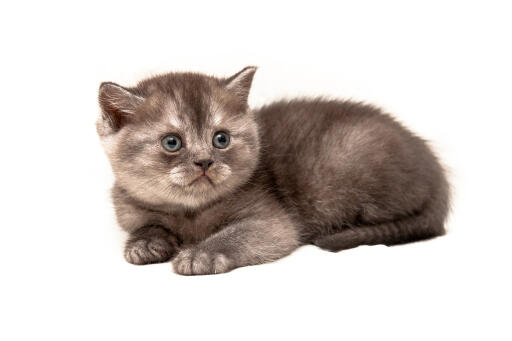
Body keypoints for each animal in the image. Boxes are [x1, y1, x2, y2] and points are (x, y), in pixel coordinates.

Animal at [96, 65, 448, 274]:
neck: (191, 213)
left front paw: (201, 255)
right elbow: (148, 225)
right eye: (172, 142)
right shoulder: (132, 211)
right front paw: (144, 244)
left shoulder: (272, 222)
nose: (205, 161)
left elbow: (236, 234)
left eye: (221, 139)